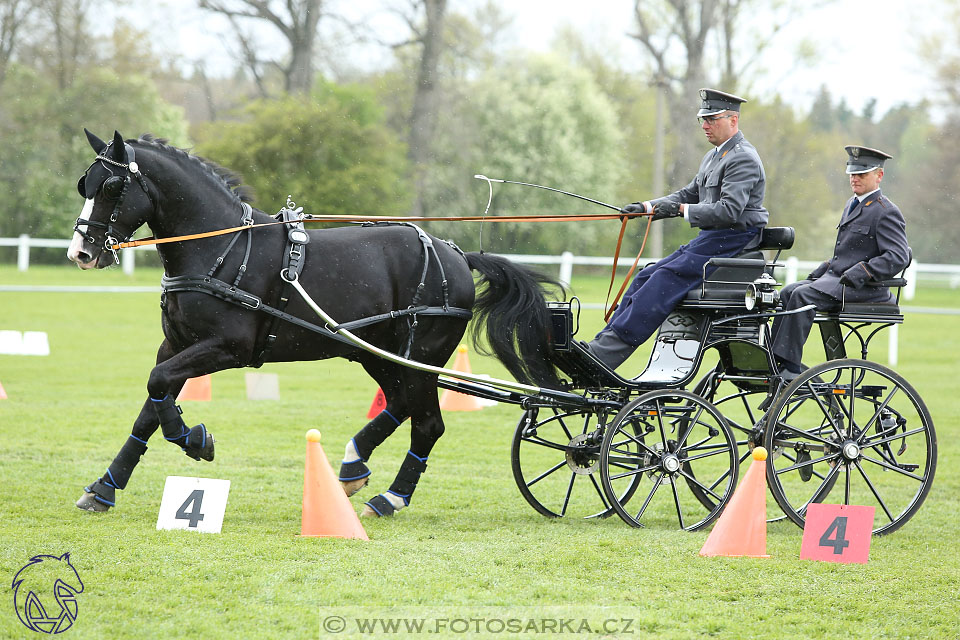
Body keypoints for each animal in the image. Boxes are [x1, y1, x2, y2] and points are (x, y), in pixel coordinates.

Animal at [69, 130, 564, 516]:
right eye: (84, 185)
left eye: (112, 185)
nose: (81, 252)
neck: (221, 249)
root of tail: (456, 254)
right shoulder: (175, 346)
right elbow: (152, 404)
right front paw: (106, 486)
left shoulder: (227, 348)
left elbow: (159, 388)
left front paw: (195, 439)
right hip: (379, 354)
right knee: (401, 404)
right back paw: (353, 465)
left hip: (421, 356)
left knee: (427, 423)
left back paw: (390, 497)